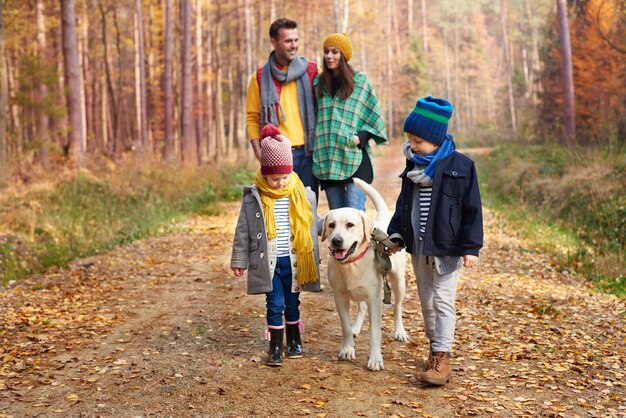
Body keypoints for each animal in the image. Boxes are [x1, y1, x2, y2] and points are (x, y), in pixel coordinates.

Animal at [320, 178, 408, 370]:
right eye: (331, 225)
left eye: (350, 225)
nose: (336, 240)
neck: (351, 264)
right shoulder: (340, 297)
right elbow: (345, 326)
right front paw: (347, 349)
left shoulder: (375, 299)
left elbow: (375, 333)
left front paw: (375, 359)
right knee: (361, 308)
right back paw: (356, 328)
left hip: (398, 282)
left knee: (397, 307)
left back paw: (400, 331)